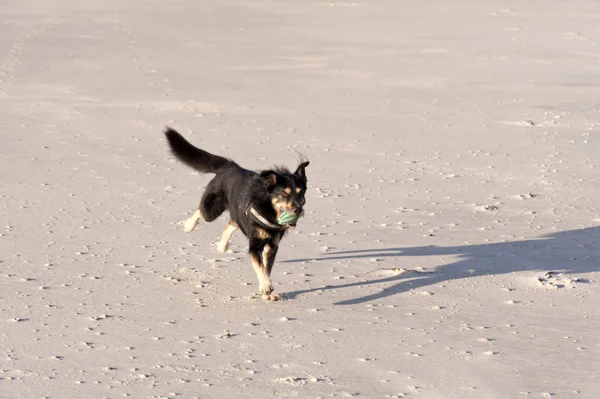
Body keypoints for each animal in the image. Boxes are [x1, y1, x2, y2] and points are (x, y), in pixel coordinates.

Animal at [164, 126, 310, 302]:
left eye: (300, 194)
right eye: (284, 194)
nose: (298, 210)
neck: (269, 210)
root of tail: (228, 166)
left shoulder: (272, 247)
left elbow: (266, 269)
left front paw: (266, 292)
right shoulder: (255, 247)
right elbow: (261, 268)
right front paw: (266, 288)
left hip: (235, 212)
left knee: (231, 223)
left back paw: (222, 246)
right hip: (212, 209)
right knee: (201, 210)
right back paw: (188, 226)